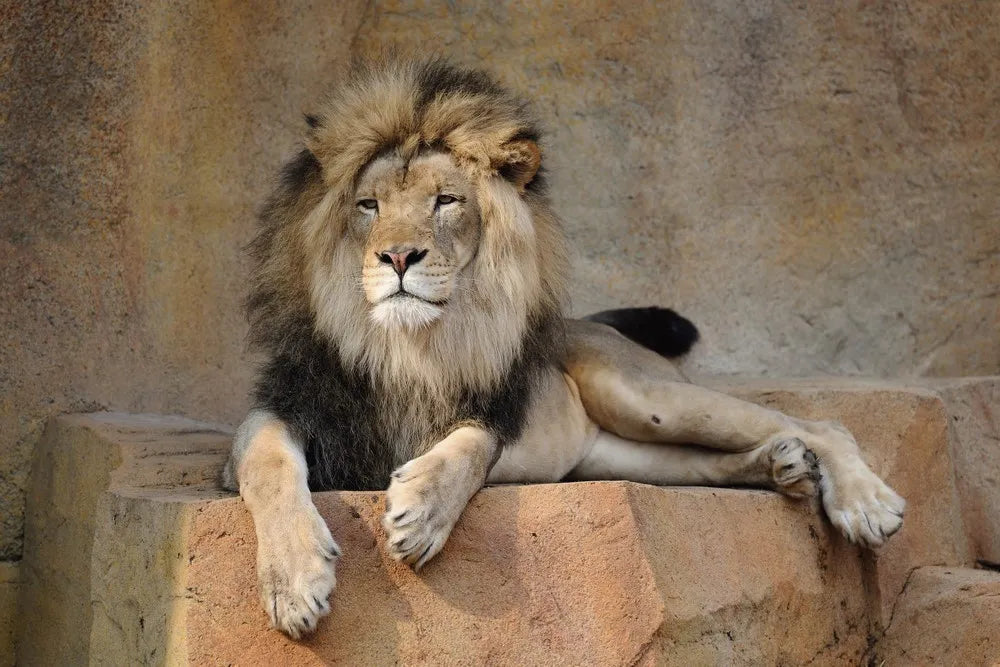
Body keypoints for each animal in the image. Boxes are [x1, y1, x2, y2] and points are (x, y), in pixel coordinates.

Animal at [223, 58, 905, 639]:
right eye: (368, 205)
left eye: (445, 200)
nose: (397, 257)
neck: (408, 347)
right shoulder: (286, 409)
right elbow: (268, 463)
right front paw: (295, 582)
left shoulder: (497, 410)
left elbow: (471, 446)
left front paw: (422, 511)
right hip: (614, 458)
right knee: (703, 463)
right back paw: (780, 467)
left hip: (639, 395)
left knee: (823, 423)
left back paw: (864, 502)